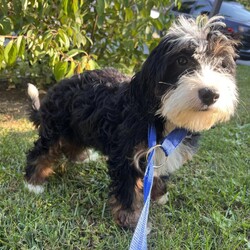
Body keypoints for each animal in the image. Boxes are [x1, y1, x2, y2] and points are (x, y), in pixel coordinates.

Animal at [24, 16, 238, 229]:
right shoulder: (126, 154)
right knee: (44, 150)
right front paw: (131, 218)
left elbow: (157, 173)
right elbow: (128, 188)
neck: (160, 117)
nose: (210, 94)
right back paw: (33, 181)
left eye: (221, 64)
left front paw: (158, 195)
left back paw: (81, 157)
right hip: (57, 124)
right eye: (182, 60)